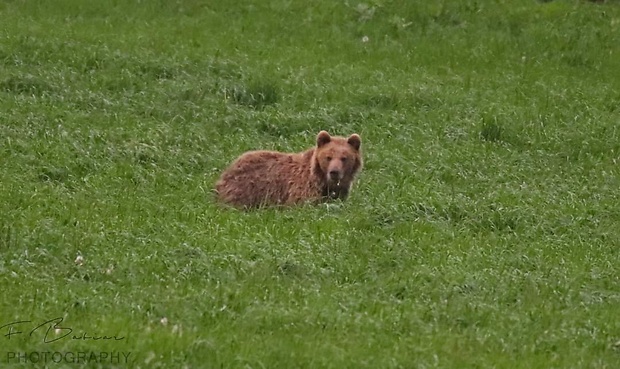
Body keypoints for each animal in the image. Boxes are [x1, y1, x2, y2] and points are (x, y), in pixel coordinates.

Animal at [218, 131, 364, 207]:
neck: (324, 181)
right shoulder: (303, 187)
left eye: (344, 158)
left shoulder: (338, 191)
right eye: (328, 157)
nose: (334, 172)